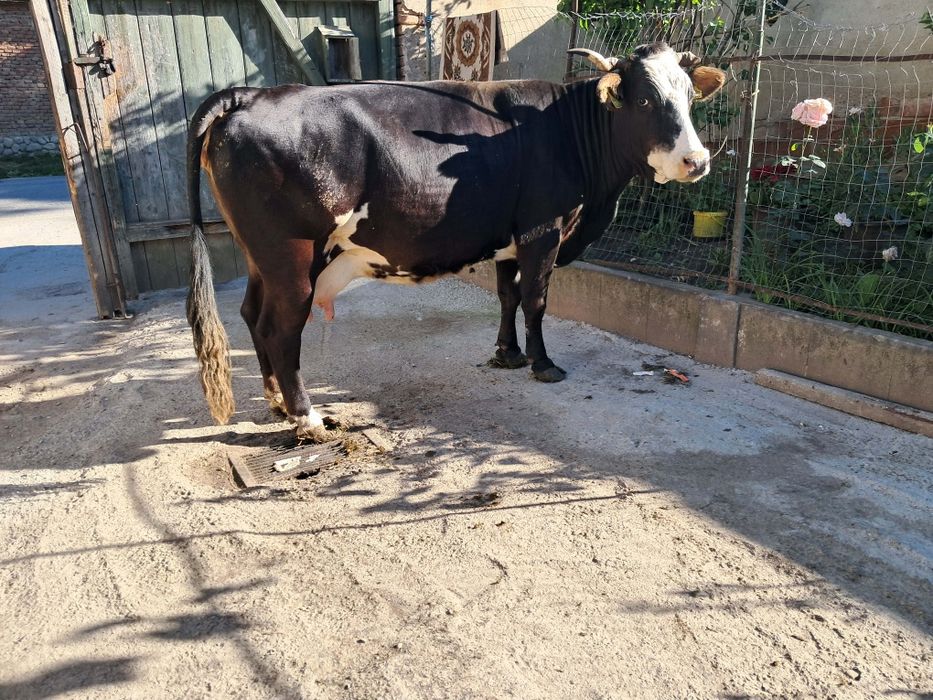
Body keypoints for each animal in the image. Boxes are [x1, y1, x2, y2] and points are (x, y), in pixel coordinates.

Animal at [185, 42, 726, 441]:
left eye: (689, 98)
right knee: (280, 329)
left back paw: (278, 403)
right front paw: (543, 364)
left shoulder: (510, 237)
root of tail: (248, 95)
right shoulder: (543, 230)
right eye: (645, 100)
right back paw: (308, 418)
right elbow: (536, 299)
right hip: (292, 256)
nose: (697, 161)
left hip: (261, 258)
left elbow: (508, 296)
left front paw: (508, 354)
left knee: (252, 315)